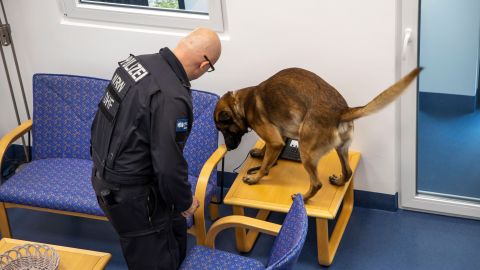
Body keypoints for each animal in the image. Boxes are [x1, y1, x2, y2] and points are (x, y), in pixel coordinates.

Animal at [214, 68, 420, 202]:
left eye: (224, 130)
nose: (228, 148)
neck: (241, 103)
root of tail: (341, 111)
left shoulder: (275, 141)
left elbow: (265, 166)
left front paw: (255, 177)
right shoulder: (279, 137)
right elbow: (267, 150)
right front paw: (260, 153)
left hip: (306, 152)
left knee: (317, 184)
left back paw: (303, 198)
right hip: (340, 149)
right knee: (348, 171)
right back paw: (339, 181)